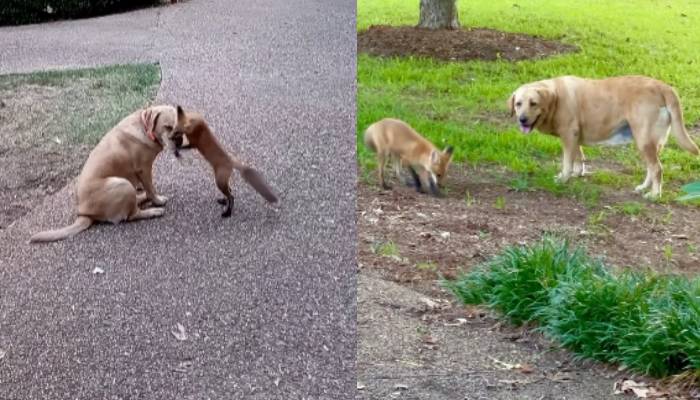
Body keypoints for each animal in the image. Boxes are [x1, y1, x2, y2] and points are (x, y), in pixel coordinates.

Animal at [30, 104, 186, 242]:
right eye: (167, 127)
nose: (179, 141)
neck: (144, 127)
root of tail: (83, 214)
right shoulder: (144, 169)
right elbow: (151, 189)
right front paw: (157, 201)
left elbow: (146, 187)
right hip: (122, 184)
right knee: (132, 214)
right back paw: (152, 211)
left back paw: (141, 197)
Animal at [508, 75, 700, 198]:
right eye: (518, 104)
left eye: (533, 103)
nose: (522, 119)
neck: (556, 99)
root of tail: (663, 87)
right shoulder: (575, 137)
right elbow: (578, 157)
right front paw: (578, 173)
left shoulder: (569, 135)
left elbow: (567, 162)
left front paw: (564, 178)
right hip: (650, 143)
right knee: (651, 169)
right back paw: (643, 187)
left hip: (644, 141)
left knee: (657, 169)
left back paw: (654, 194)